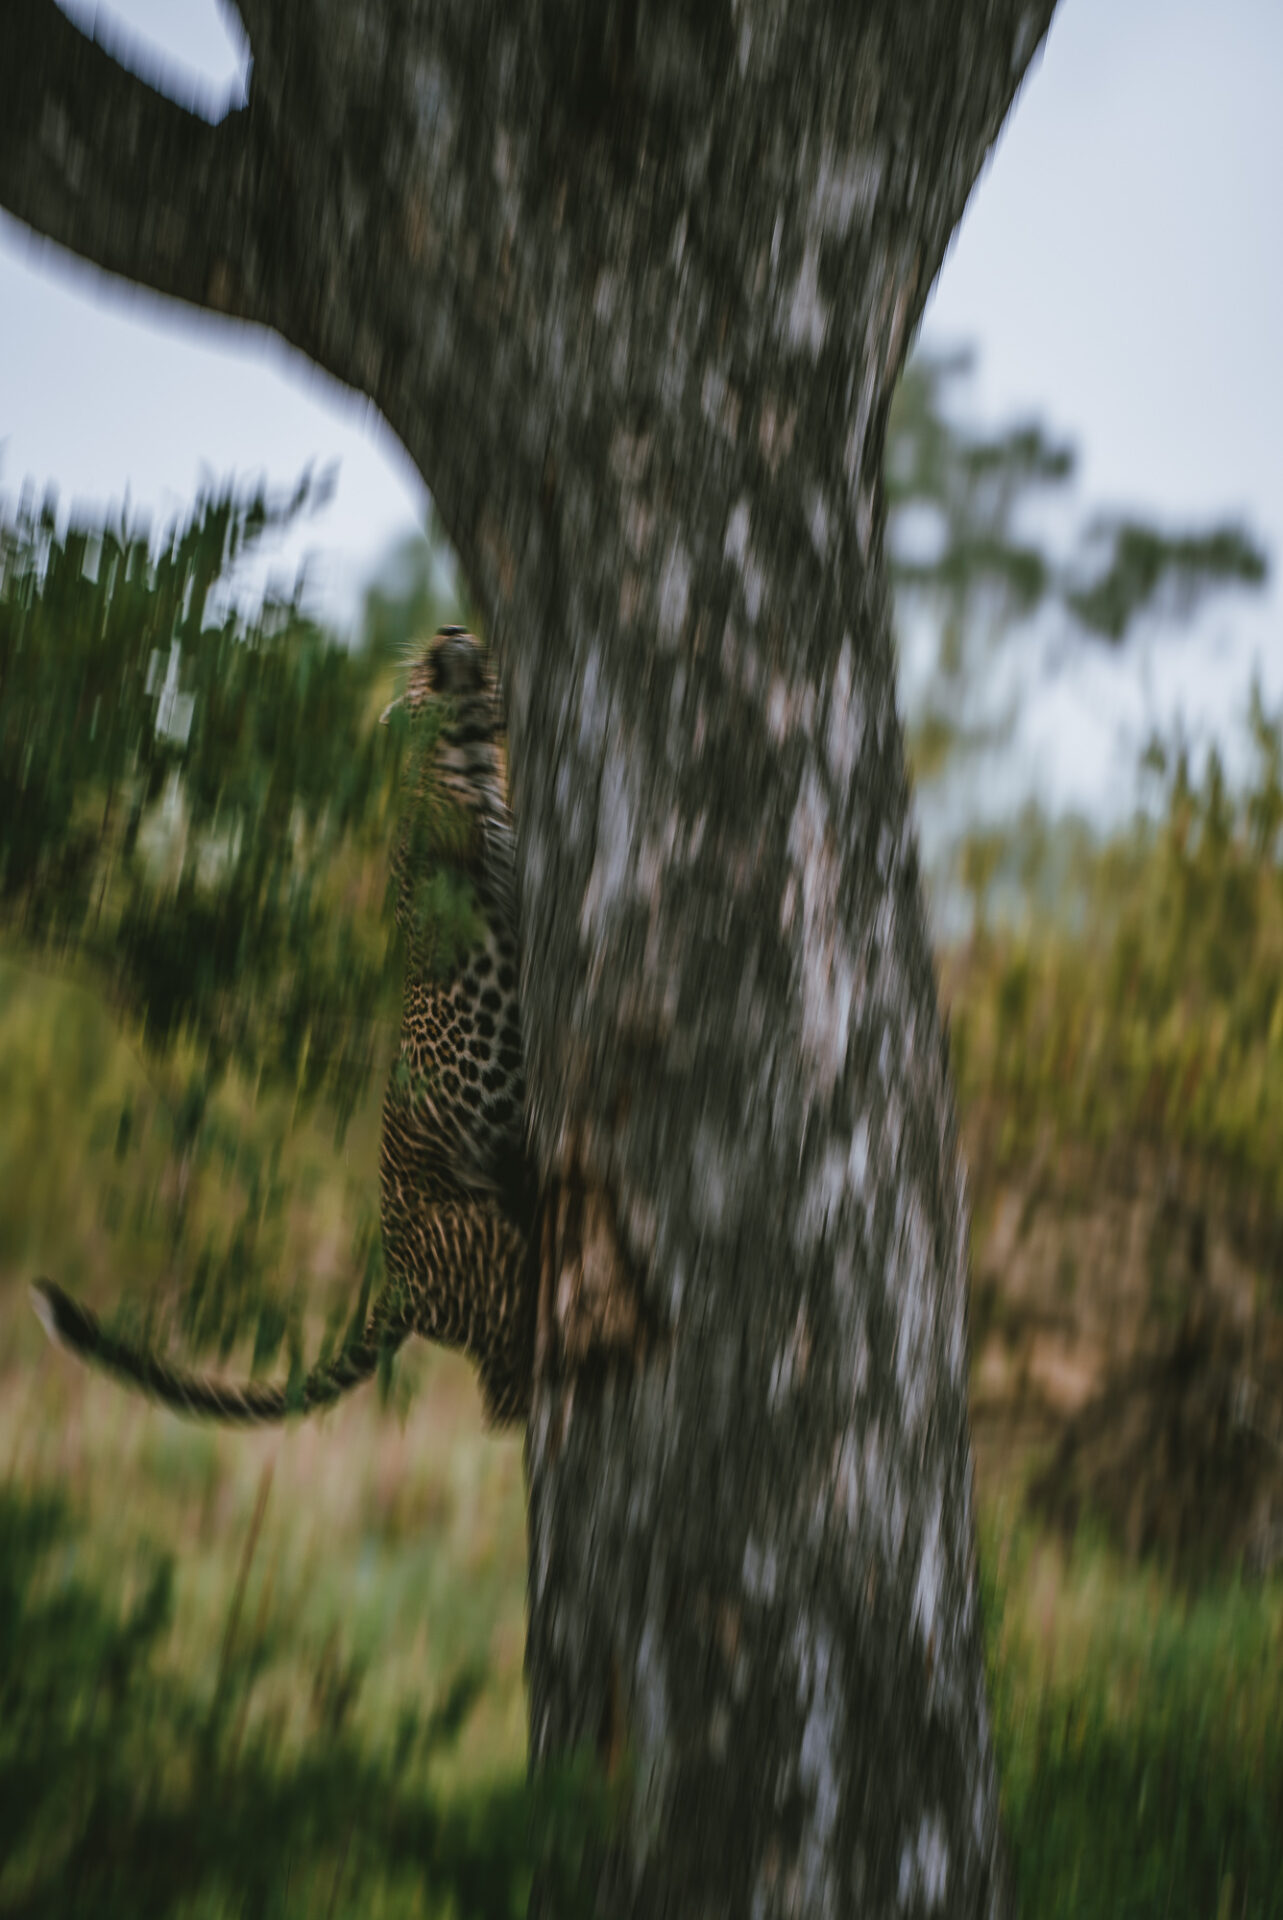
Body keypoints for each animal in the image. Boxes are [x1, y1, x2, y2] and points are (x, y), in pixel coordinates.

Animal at [32, 629, 537, 1428]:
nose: (451, 632)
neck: (465, 760)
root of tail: (396, 1282)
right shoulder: (449, 839)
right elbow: (472, 828)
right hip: (480, 1240)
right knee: (506, 1360)